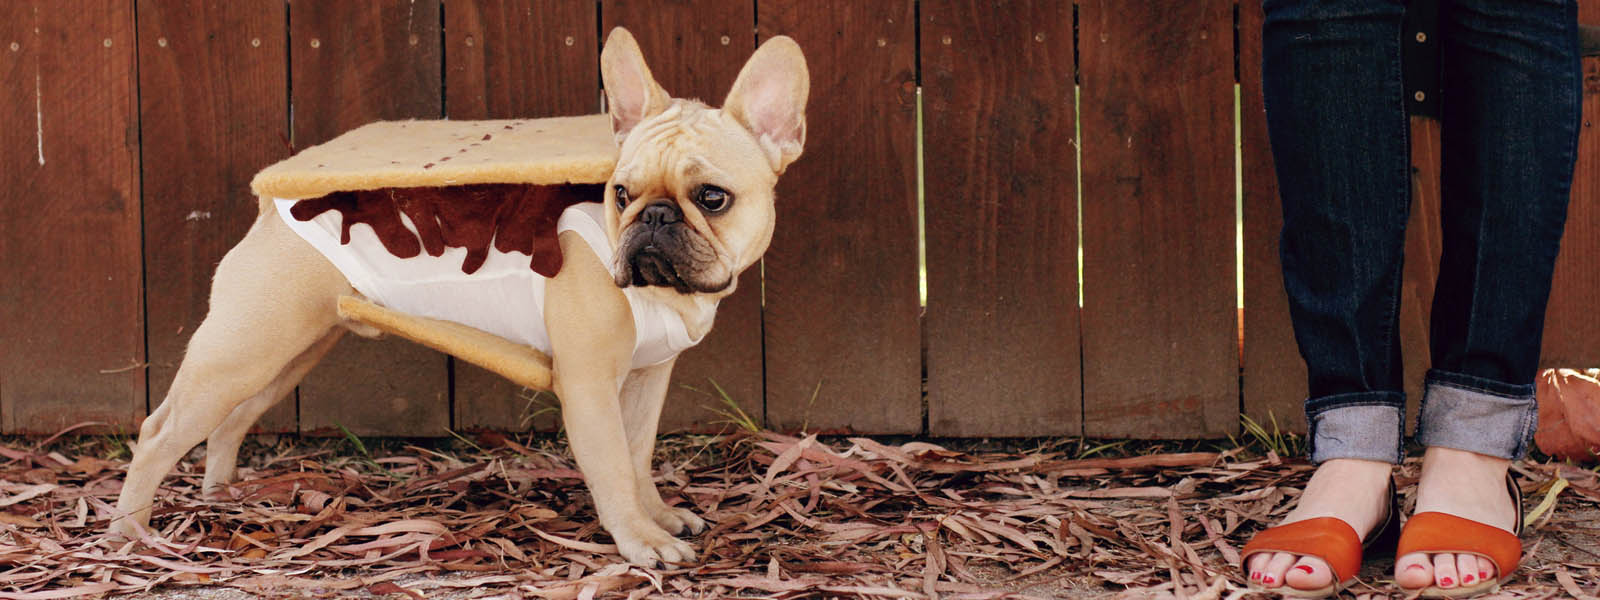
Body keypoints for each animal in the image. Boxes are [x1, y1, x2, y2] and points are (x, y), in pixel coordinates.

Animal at [112, 25, 806, 569]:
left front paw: (656, 515)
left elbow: (637, 456)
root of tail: (274, 208)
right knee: (158, 430)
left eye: (712, 198)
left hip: (284, 356)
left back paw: (221, 496)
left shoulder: (644, 380)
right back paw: (131, 534)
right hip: (242, 351)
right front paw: (639, 541)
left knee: (230, 421)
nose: (654, 217)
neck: (661, 293)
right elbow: (612, 465)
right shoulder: (589, 387)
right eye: (621, 194)